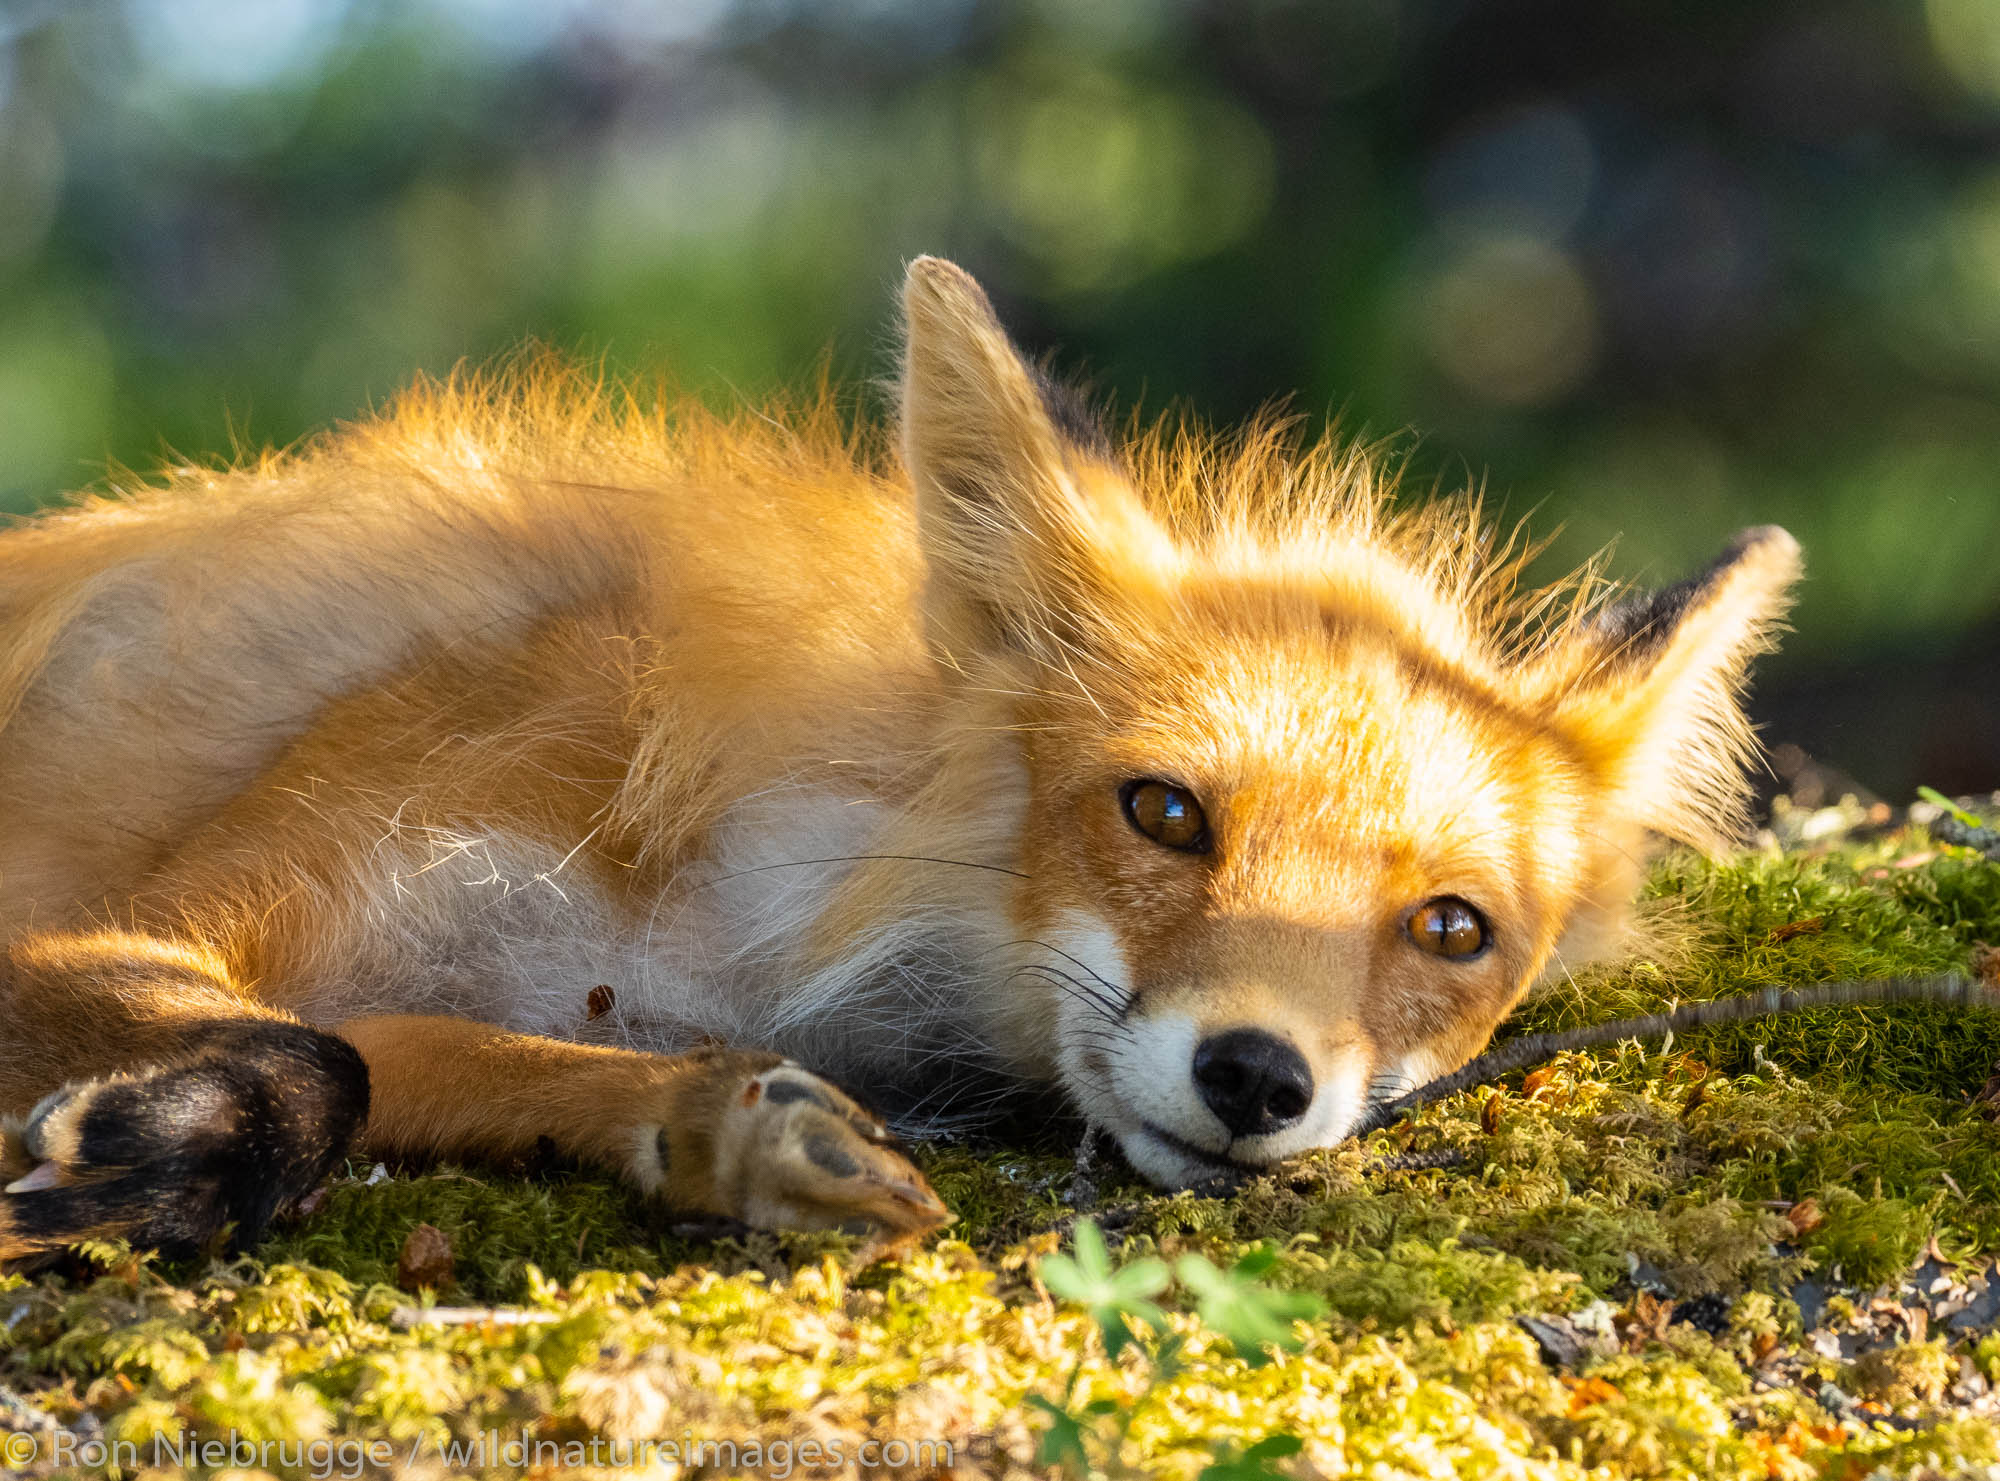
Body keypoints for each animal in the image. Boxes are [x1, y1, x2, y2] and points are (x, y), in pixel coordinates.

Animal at [0, 260, 1800, 1256]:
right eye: (1164, 811)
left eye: (1451, 929)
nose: (1257, 1078)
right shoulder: (126, 917)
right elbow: (326, 1058)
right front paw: (173, 1158)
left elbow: (419, 1056)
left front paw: (731, 1137)